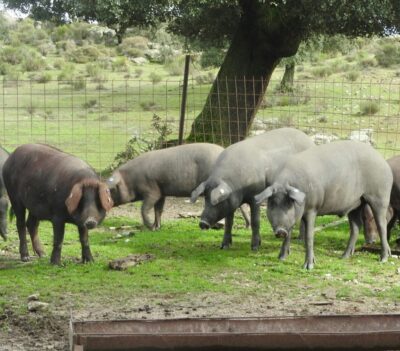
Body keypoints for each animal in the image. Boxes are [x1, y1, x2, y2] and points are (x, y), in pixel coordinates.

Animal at [107, 144, 250, 231]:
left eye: (111, 189)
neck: (131, 180)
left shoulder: (152, 190)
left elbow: (144, 208)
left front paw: (150, 228)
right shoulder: (161, 192)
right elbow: (158, 210)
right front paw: (157, 227)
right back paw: (246, 226)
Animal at [255, 140, 392, 270]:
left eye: (289, 202)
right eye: (272, 204)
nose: (280, 231)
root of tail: (383, 161)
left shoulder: (312, 208)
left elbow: (309, 236)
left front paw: (308, 267)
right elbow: (289, 234)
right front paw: (281, 258)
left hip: (380, 197)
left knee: (382, 224)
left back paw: (383, 259)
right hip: (356, 203)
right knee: (356, 226)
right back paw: (344, 256)